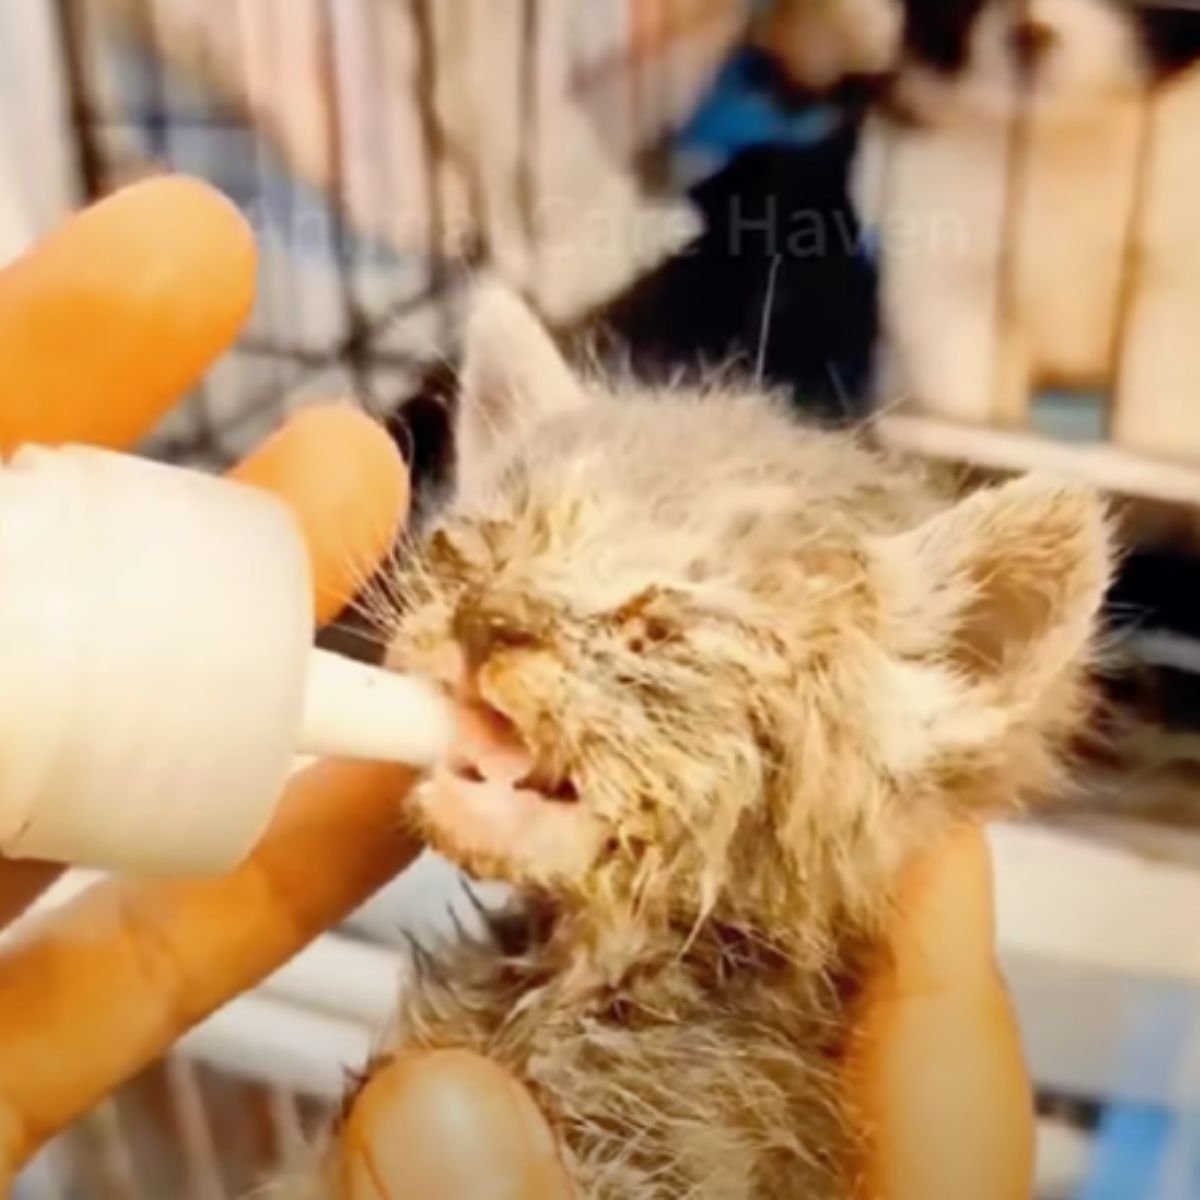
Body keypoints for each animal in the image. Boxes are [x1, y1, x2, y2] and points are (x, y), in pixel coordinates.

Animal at [854, 0, 1200, 453]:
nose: (1028, 35)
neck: (1058, 137)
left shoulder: (1174, 273)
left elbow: (1163, 387)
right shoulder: (951, 263)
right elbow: (968, 375)